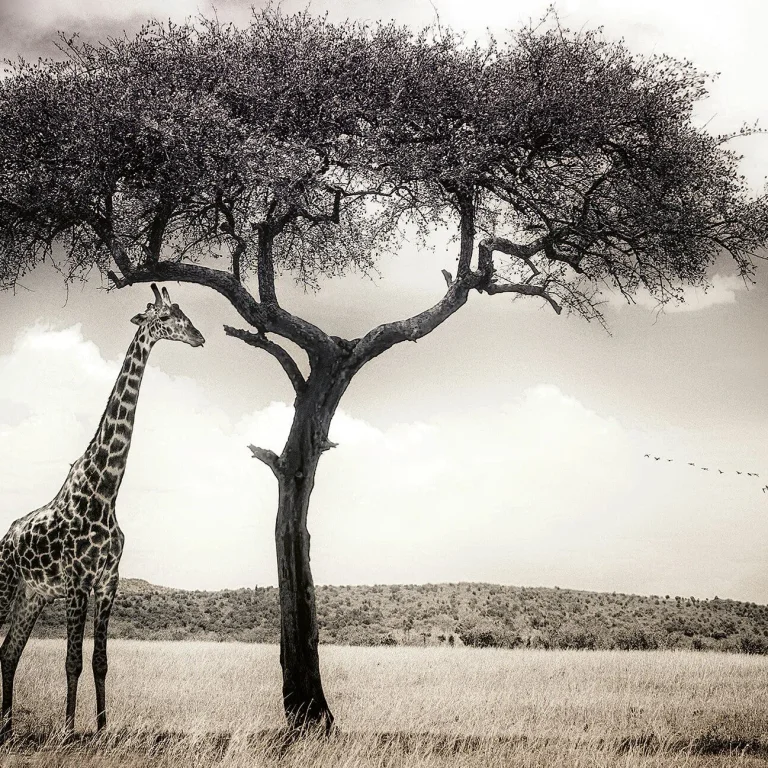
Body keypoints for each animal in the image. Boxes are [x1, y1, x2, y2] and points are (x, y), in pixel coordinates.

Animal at [0, 283, 204, 742]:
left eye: (184, 312)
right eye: (167, 317)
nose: (200, 337)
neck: (106, 491)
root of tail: (6, 539)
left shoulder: (107, 582)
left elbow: (100, 661)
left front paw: (103, 727)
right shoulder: (78, 582)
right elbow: (72, 661)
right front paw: (69, 730)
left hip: (31, 595)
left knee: (8, 653)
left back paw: (6, 727)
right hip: (5, 586)